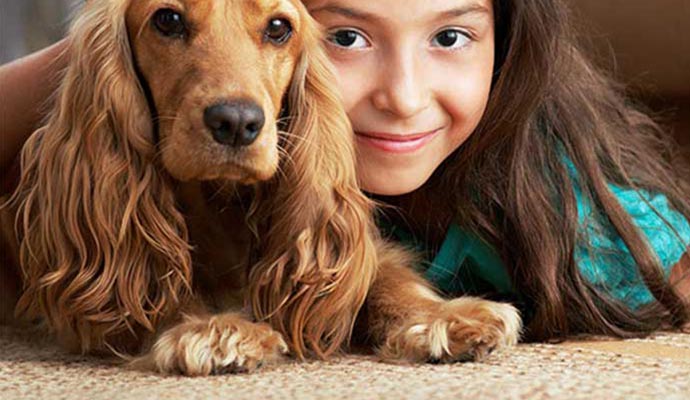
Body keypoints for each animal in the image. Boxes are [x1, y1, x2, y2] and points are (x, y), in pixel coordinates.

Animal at [0, 0, 520, 376]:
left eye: (278, 28)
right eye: (167, 19)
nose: (236, 122)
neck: (222, 203)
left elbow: (383, 277)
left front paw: (443, 318)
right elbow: (154, 284)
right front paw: (213, 330)